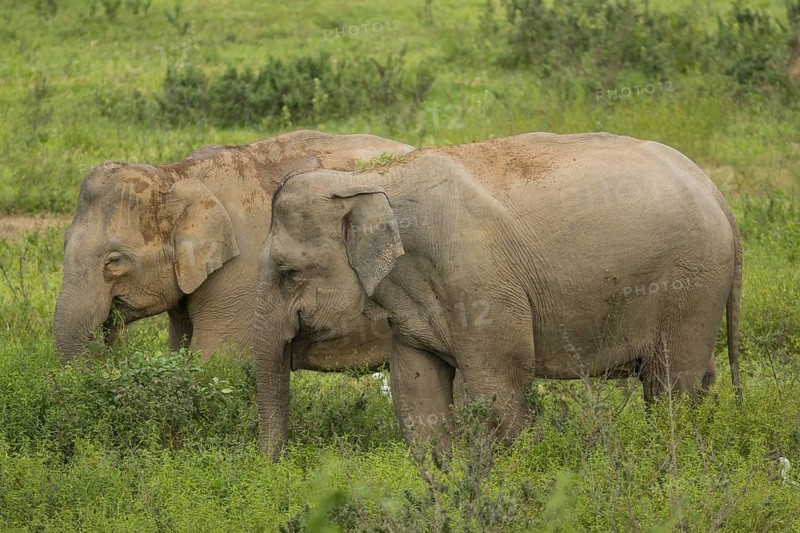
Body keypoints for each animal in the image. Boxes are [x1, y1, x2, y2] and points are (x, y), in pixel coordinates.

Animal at [54, 130, 413, 364]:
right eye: (64, 244)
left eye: (115, 260)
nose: (110, 328)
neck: (176, 174)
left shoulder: (242, 273)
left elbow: (215, 358)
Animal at [254, 131, 742, 458]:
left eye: (288, 273)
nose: (276, 468)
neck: (371, 177)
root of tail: (717, 193)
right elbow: (416, 390)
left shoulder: (479, 283)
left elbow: (497, 386)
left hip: (690, 284)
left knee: (671, 386)